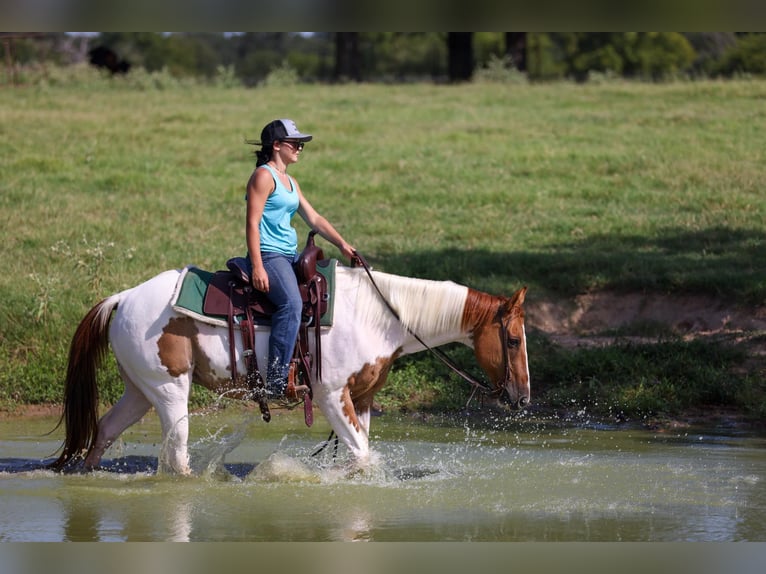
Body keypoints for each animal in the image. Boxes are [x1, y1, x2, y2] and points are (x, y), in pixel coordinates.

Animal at [50, 264, 530, 474]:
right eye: (513, 339)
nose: (523, 397)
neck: (381, 316)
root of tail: (124, 297)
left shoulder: (361, 398)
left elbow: (359, 454)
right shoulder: (332, 396)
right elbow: (361, 452)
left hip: (139, 390)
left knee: (105, 429)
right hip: (169, 392)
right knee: (177, 453)